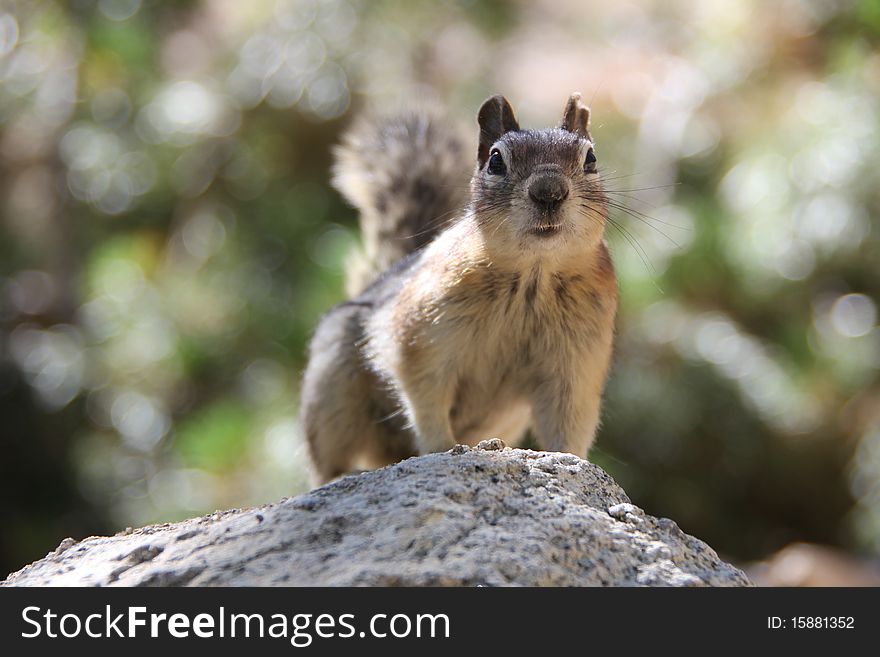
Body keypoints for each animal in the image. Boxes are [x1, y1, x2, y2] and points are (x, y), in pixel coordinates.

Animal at [302, 92, 620, 482]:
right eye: (495, 160)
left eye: (590, 158)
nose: (549, 192)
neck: (533, 275)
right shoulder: (420, 337)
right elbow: (425, 393)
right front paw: (443, 448)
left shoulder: (576, 365)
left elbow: (569, 419)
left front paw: (571, 461)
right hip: (333, 391)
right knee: (329, 463)